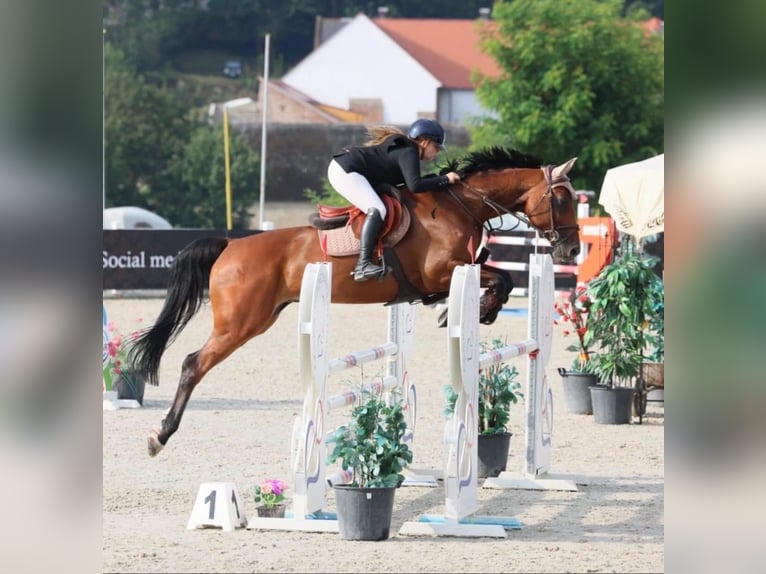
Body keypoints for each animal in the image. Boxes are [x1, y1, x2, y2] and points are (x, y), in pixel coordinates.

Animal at [128, 147, 581, 456]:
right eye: (561, 200)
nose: (572, 251)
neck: (461, 205)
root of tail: (230, 245)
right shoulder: (441, 271)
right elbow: (500, 277)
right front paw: (478, 311)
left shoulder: (459, 268)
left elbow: (497, 277)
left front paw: (472, 310)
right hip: (240, 324)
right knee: (193, 364)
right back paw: (159, 434)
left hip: (258, 318)